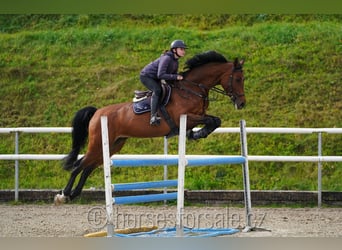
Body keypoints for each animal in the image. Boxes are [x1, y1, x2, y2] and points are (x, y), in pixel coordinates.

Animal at [54, 50, 244, 205]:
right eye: (237, 79)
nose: (242, 104)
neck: (192, 89)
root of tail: (97, 112)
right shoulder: (185, 118)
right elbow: (212, 121)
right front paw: (199, 133)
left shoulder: (198, 116)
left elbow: (215, 120)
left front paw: (197, 133)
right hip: (98, 143)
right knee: (79, 165)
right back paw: (64, 195)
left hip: (113, 145)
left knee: (88, 166)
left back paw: (74, 193)